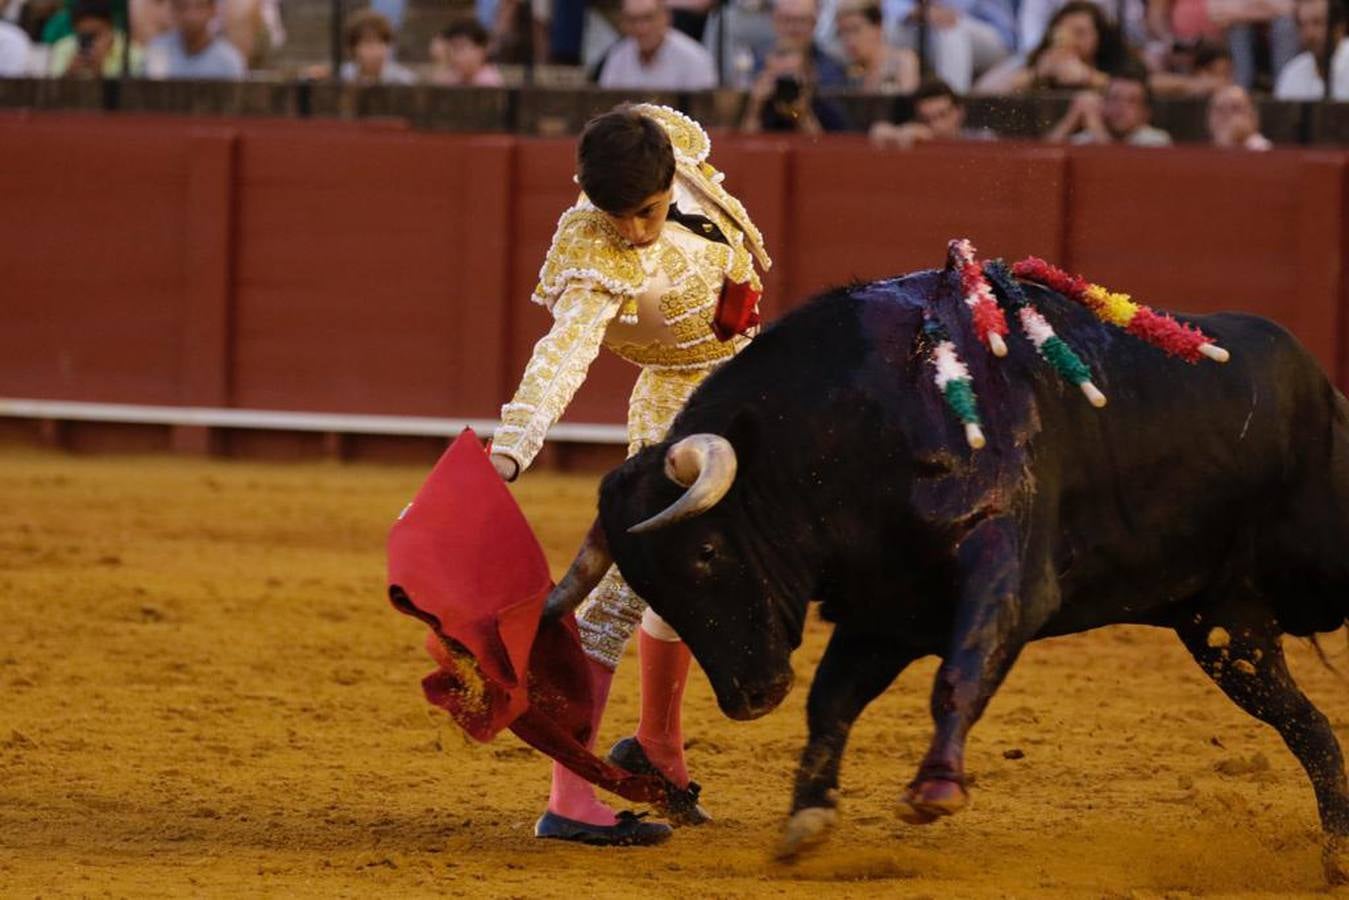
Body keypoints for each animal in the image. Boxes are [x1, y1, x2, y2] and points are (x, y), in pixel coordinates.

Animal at [542, 269, 1349, 879]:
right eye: (649, 584)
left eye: (706, 554)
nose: (748, 698)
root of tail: (1321, 385)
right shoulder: (886, 610)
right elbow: (832, 701)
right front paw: (808, 816)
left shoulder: (1005, 574)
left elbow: (958, 672)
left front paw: (934, 790)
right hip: (1224, 628)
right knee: (1306, 724)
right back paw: (1336, 851)